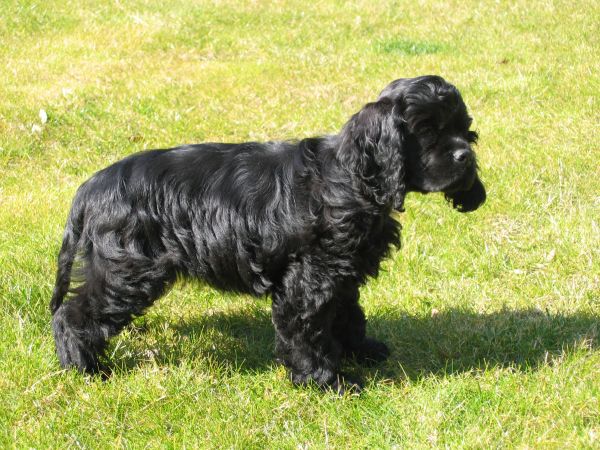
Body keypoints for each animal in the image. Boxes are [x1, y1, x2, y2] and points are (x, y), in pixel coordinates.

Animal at [50, 75, 485, 392]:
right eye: (426, 130)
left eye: (465, 130)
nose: (466, 157)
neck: (351, 177)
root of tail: (90, 188)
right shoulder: (308, 280)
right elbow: (307, 331)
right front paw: (327, 381)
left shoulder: (341, 273)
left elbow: (348, 314)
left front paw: (361, 350)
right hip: (126, 270)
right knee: (73, 315)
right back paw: (85, 369)